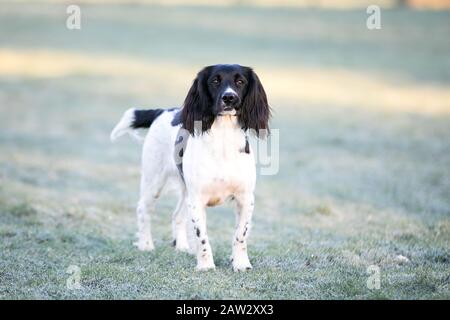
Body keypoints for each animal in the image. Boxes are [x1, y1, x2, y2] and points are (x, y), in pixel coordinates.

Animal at [110, 63, 270, 272]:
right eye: (215, 81)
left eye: (240, 81)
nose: (229, 97)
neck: (223, 140)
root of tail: (162, 111)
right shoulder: (197, 199)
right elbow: (202, 237)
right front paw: (206, 265)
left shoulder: (245, 198)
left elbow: (240, 234)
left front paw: (241, 263)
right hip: (154, 181)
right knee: (143, 208)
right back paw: (146, 245)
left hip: (185, 190)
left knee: (177, 215)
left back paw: (182, 247)